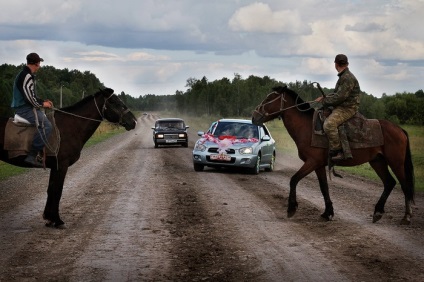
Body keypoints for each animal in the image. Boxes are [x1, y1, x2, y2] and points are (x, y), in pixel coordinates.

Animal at [0, 89, 136, 228]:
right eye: (114, 102)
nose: (134, 121)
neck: (70, 126)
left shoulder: (55, 167)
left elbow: (51, 190)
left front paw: (49, 218)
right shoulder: (62, 165)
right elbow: (57, 191)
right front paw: (57, 220)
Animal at [252, 85, 414, 225]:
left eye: (269, 98)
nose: (254, 116)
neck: (307, 128)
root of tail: (400, 130)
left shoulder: (312, 162)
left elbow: (294, 180)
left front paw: (291, 208)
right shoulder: (318, 165)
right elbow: (324, 187)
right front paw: (328, 213)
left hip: (396, 162)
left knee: (404, 185)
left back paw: (406, 217)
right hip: (378, 162)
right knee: (389, 183)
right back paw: (378, 212)